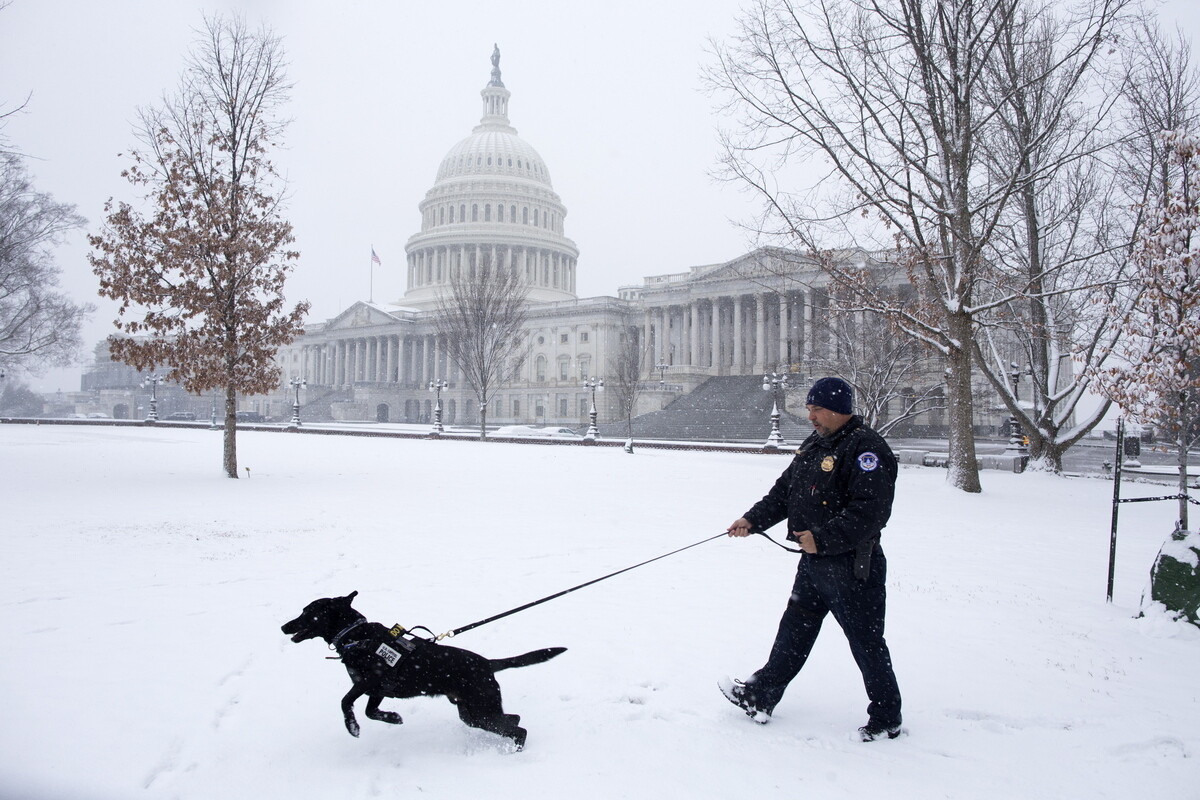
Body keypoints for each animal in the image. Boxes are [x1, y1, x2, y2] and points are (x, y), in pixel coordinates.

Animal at [280, 587, 566, 753]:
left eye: (308, 612)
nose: (284, 627)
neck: (355, 635)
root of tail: (487, 663)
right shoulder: (379, 690)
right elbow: (371, 711)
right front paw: (393, 717)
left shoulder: (368, 682)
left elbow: (345, 702)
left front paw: (353, 727)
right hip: (472, 713)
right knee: (513, 720)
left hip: (481, 709)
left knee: (519, 729)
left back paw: (515, 752)